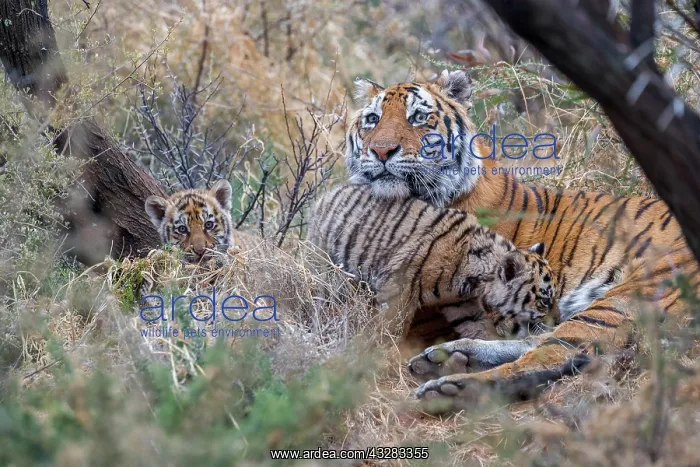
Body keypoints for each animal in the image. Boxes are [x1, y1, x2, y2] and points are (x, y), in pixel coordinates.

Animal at [308, 184, 558, 351]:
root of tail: (325, 195)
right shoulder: (397, 291)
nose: (557, 322)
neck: (475, 280)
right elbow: (391, 329)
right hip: (325, 266)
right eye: (544, 301)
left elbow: (479, 327)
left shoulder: (462, 304)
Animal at [344, 69, 699, 408]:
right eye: (372, 119)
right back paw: (453, 358)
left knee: (555, 353)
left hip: (632, 294)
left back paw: (453, 386)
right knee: (540, 341)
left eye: (418, 117)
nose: (381, 151)